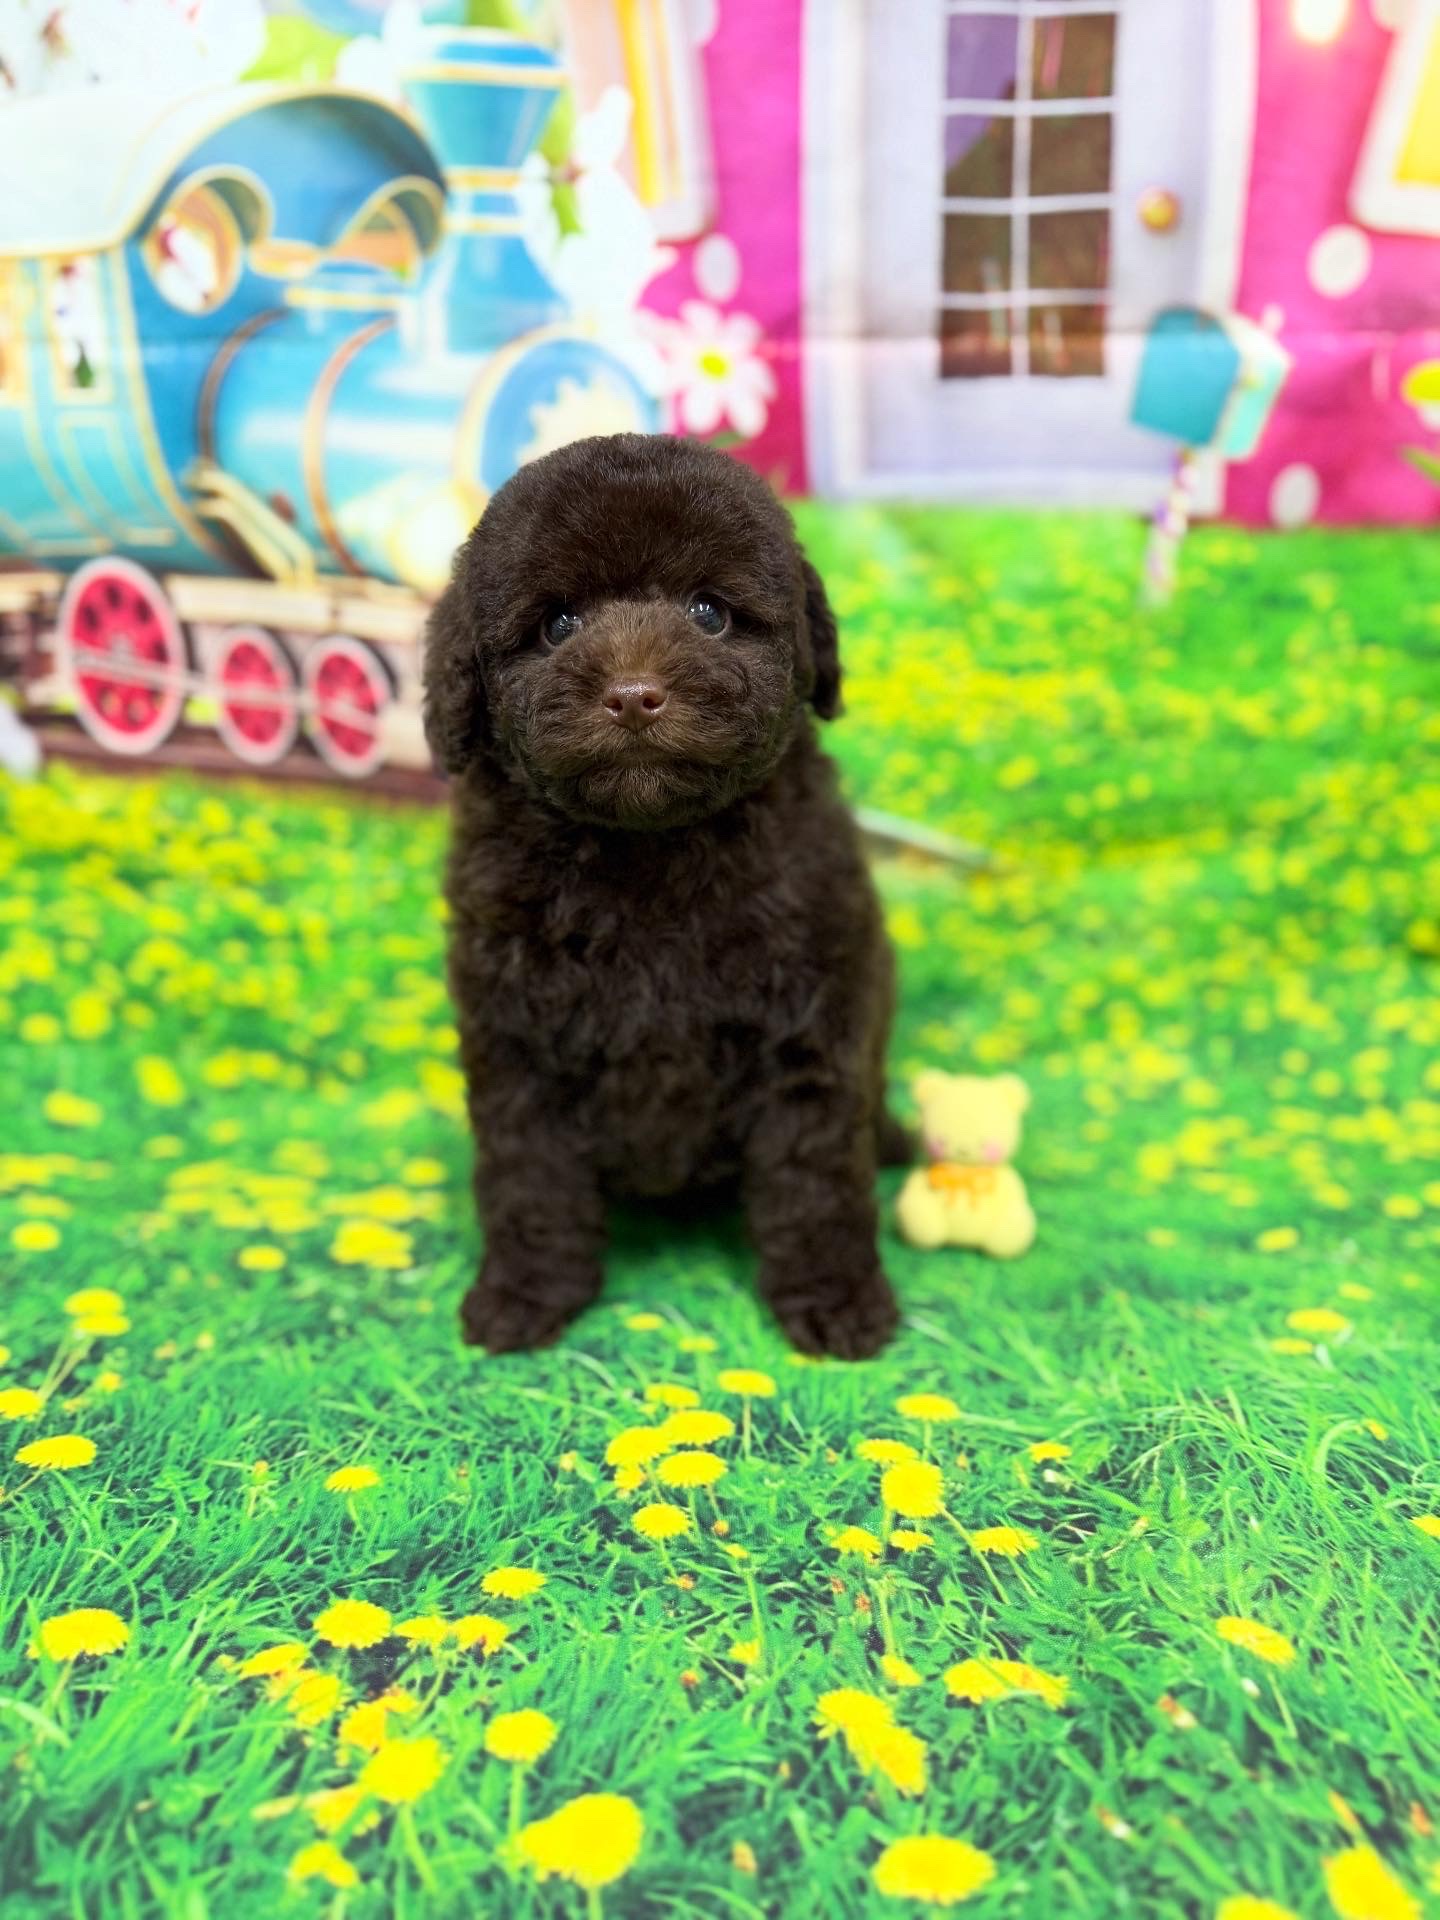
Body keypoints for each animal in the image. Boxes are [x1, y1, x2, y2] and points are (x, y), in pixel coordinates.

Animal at [423, 433, 908, 1358]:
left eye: (709, 613)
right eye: (558, 625)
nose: (634, 696)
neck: (646, 851)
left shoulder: (809, 1024)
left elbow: (816, 1175)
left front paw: (834, 1301)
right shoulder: (517, 1037)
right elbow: (528, 1176)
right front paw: (527, 1295)